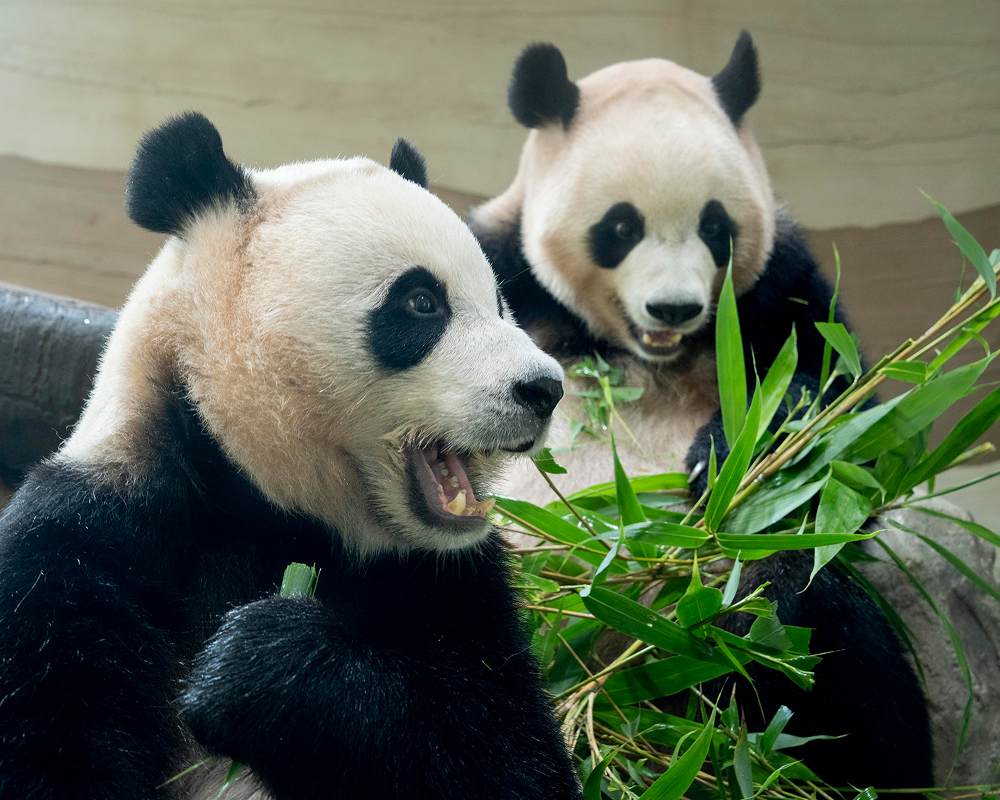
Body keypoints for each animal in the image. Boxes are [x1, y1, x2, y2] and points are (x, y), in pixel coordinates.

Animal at [0, 113, 583, 800]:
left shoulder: (448, 578)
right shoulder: (91, 537)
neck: (261, 502)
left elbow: (510, 753)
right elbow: (50, 739)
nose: (543, 389)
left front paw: (258, 662)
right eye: (422, 303)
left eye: (499, 303)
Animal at [468, 36, 934, 789]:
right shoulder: (497, 267)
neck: (634, 349)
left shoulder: (781, 288)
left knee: (812, 627)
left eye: (715, 226)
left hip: (753, 617)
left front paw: (727, 452)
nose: (675, 308)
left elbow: (850, 436)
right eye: (621, 226)